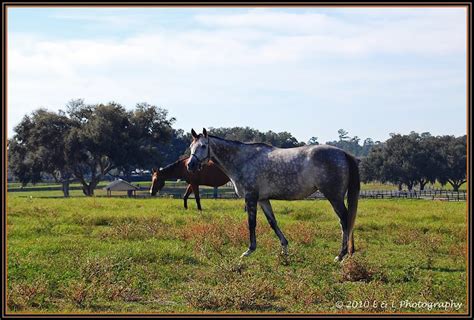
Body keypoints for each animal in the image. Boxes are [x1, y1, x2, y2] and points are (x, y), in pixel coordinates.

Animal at [187, 129, 362, 262]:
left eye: (203, 146)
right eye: (191, 146)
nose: (190, 165)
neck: (243, 159)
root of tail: (343, 153)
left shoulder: (251, 197)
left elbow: (251, 224)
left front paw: (248, 251)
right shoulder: (263, 199)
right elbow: (273, 222)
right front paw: (284, 249)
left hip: (334, 196)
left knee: (345, 221)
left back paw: (341, 255)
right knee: (346, 221)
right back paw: (348, 253)